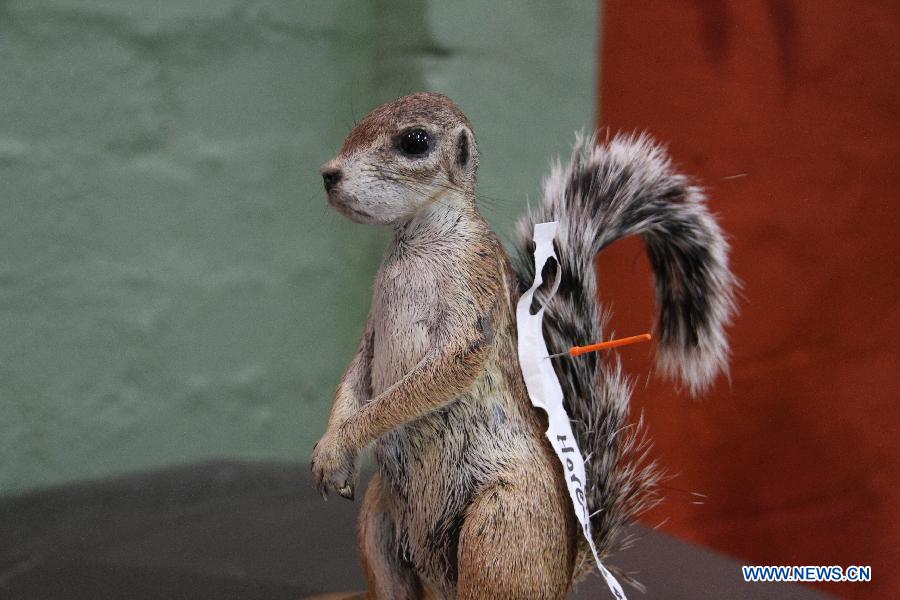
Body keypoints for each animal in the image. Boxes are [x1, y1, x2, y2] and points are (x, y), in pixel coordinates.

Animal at [312, 91, 736, 596]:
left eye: (414, 141)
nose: (329, 175)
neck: (416, 239)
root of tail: (561, 578)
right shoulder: (374, 327)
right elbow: (355, 373)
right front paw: (331, 449)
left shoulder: (473, 293)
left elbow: (440, 372)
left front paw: (345, 439)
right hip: (379, 521)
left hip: (499, 532)